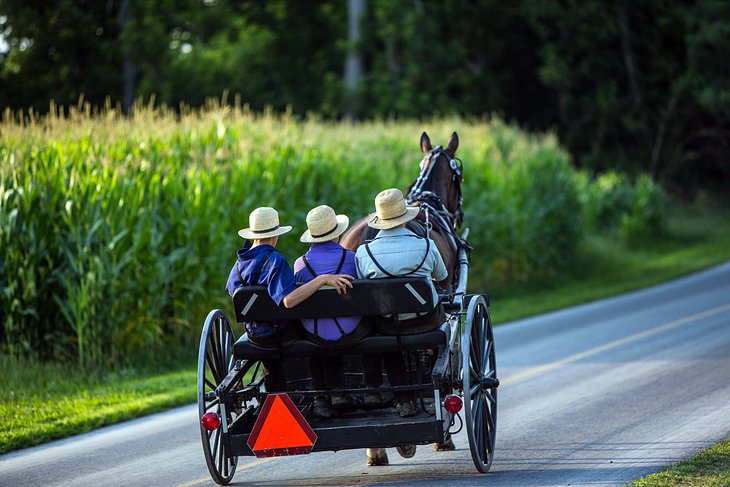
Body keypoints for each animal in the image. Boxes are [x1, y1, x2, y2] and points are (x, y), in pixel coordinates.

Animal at [336, 130, 464, 466]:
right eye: (458, 177)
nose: (458, 214)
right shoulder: (449, 304)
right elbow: (445, 357)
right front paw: (442, 435)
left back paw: (376, 446)